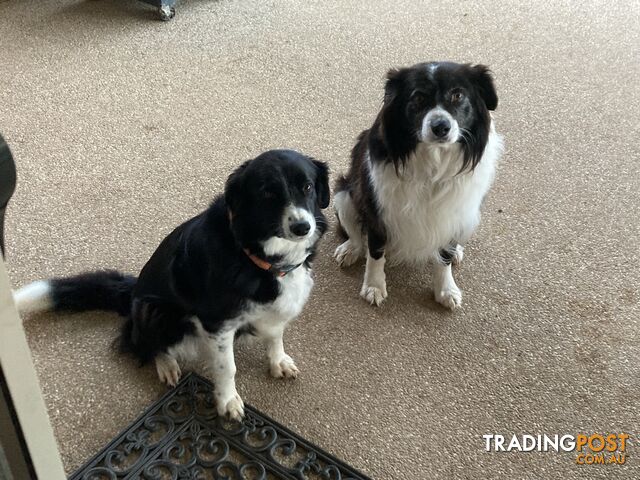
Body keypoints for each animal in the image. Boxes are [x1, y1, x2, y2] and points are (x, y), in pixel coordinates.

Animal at [15, 150, 330, 420]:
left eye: (307, 186)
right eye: (267, 193)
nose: (303, 228)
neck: (255, 254)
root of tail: (133, 292)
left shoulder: (278, 308)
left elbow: (275, 335)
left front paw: (278, 361)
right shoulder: (217, 322)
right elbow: (227, 367)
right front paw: (228, 400)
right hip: (154, 311)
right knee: (144, 343)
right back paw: (166, 364)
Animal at [332, 61, 502, 308]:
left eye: (458, 95)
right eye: (419, 97)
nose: (440, 127)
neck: (433, 164)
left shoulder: (453, 213)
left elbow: (445, 256)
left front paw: (446, 290)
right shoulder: (377, 209)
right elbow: (375, 251)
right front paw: (374, 286)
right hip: (343, 195)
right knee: (355, 235)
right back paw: (349, 250)